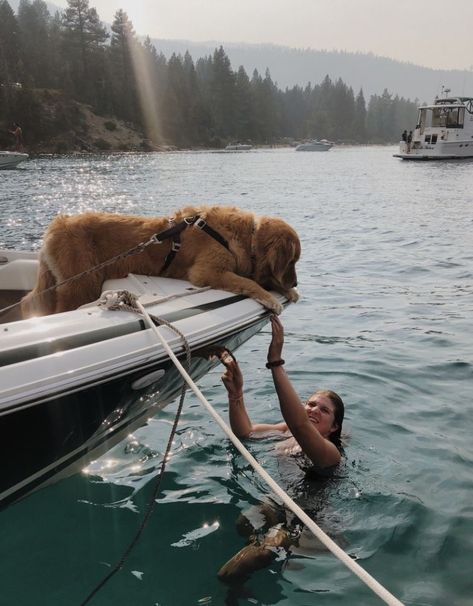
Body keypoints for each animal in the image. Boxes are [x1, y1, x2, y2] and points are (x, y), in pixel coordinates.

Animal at [21, 205, 298, 318]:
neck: (246, 235)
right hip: (81, 282)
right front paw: (272, 298)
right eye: (292, 261)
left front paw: (288, 291)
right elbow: (249, 283)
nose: (296, 281)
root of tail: (59, 223)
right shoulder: (208, 271)